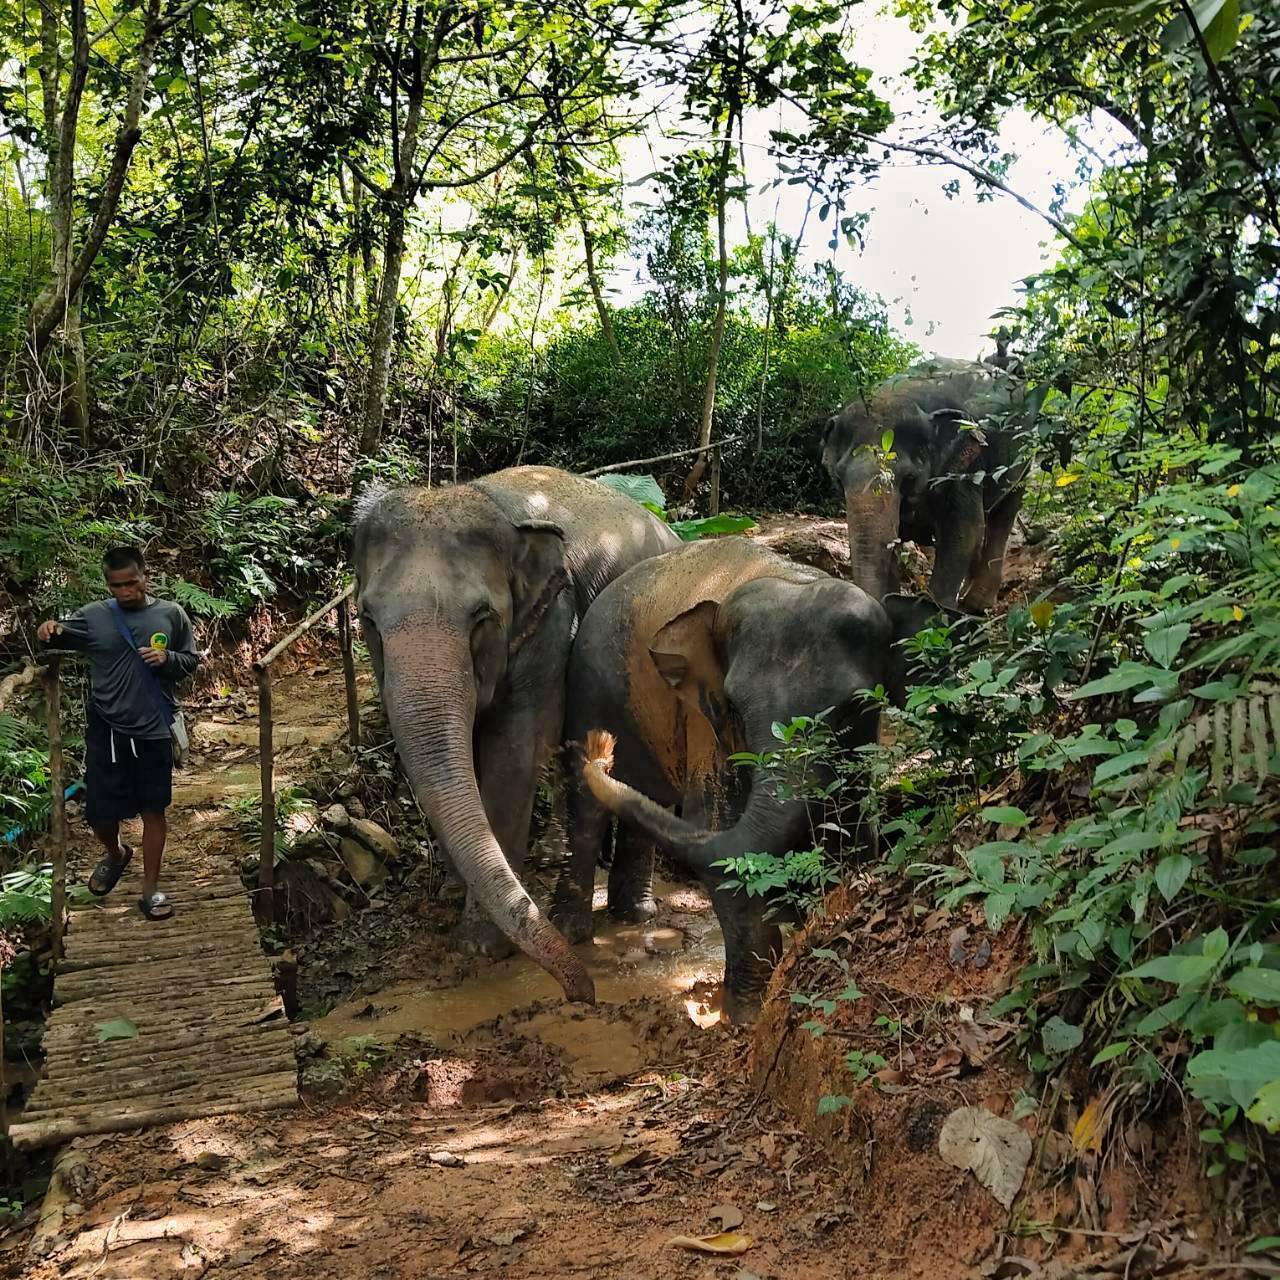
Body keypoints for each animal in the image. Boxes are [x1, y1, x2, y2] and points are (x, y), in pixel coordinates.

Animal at [352, 465, 680, 1004]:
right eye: (369, 619)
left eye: (482, 618)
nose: (584, 993)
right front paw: (454, 894)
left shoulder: (552, 622)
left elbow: (515, 751)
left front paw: (479, 946)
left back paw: (632, 914)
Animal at [552, 536, 934, 1023]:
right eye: (734, 704)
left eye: (854, 706)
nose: (602, 751)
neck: (794, 575)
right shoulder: (707, 722)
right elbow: (718, 828)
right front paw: (748, 1016)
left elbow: (851, 831)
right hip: (588, 684)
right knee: (587, 811)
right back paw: (572, 931)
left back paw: (636, 916)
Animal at [820, 357, 1032, 612]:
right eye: (839, 479)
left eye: (909, 478)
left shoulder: (964, 469)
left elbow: (962, 530)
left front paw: (937, 611)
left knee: (1004, 514)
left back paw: (976, 605)